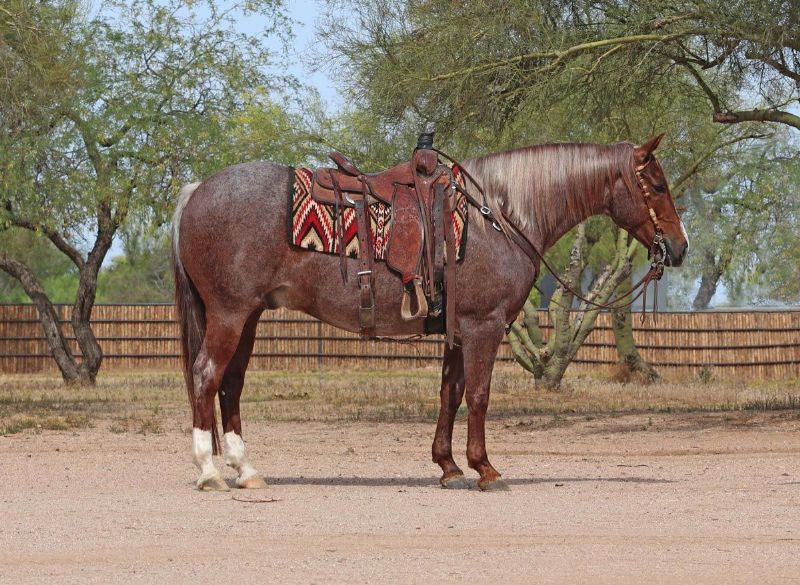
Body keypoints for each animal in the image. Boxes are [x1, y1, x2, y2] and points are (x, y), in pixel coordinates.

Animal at [172, 132, 688, 491]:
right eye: (658, 185)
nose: (679, 247)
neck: (499, 215)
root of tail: (196, 189)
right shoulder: (484, 325)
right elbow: (478, 395)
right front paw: (485, 468)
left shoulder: (458, 328)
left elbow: (450, 393)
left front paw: (448, 466)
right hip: (230, 314)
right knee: (205, 376)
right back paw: (209, 472)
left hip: (248, 316)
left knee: (230, 386)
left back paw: (245, 470)